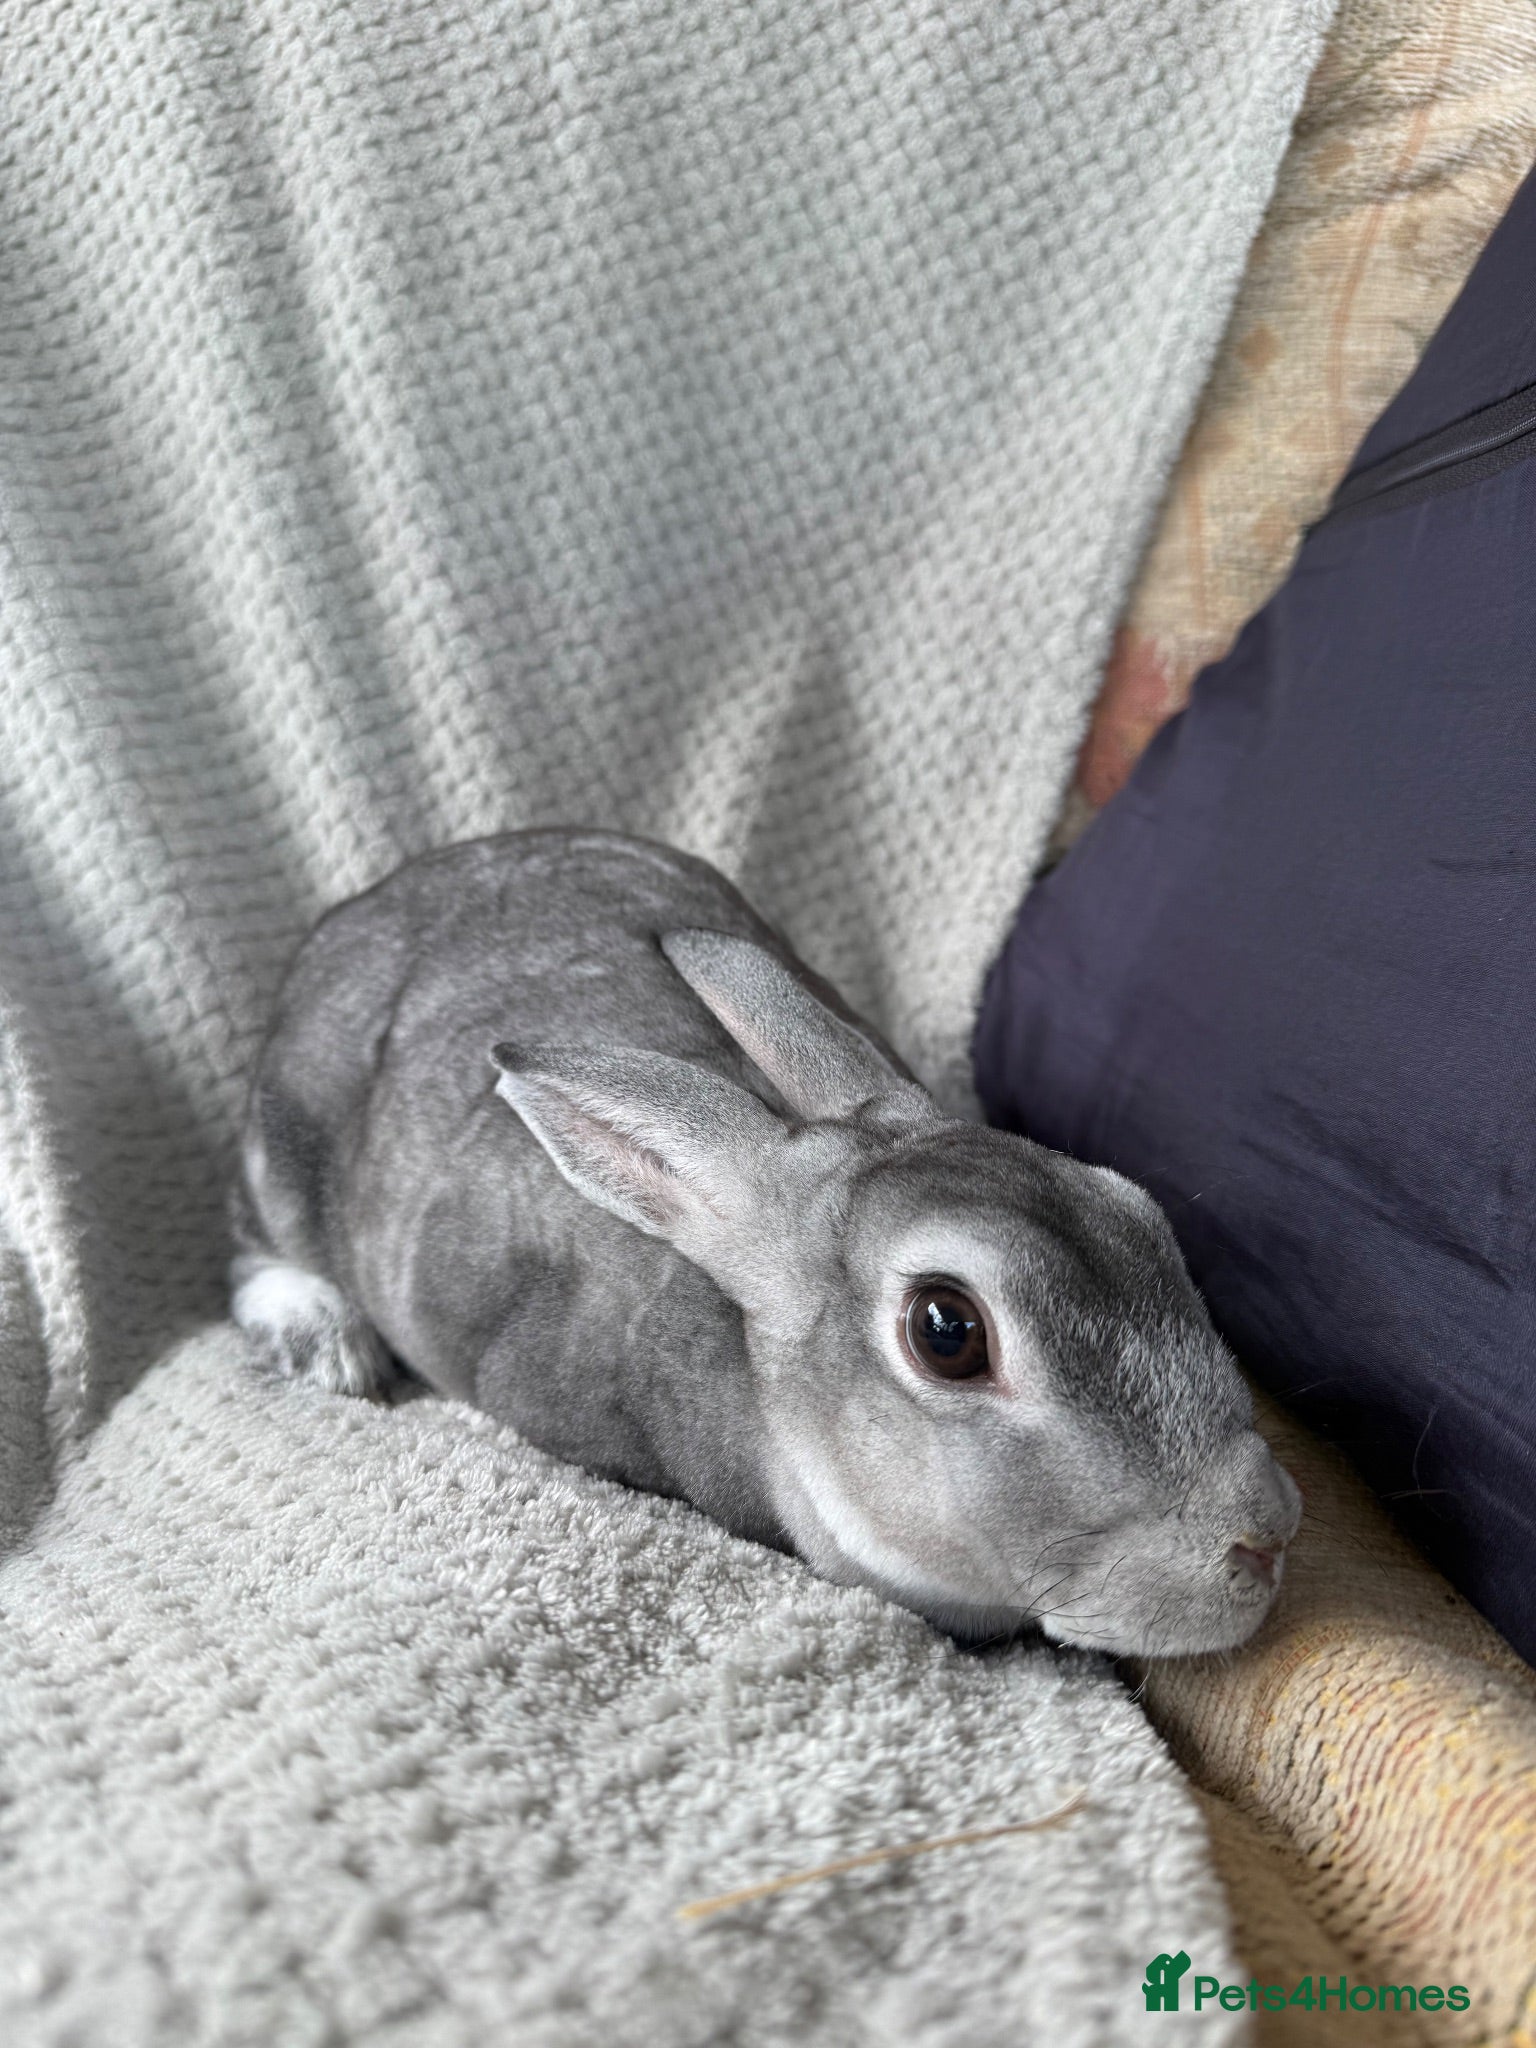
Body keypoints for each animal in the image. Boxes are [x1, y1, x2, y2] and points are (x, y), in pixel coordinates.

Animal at [232, 827, 1300, 1657]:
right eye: (947, 1331)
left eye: (1136, 1215)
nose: (1266, 1535)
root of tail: (357, 911)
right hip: (283, 1151)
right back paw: (322, 1341)